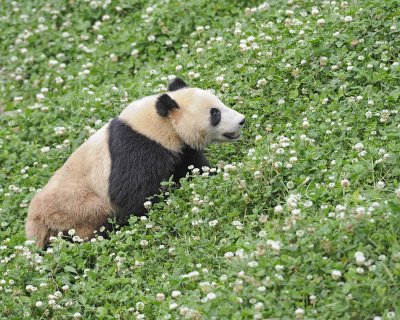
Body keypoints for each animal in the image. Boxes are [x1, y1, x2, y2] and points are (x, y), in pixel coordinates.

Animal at [26, 77, 245, 248]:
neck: (160, 123)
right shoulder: (138, 147)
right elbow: (130, 192)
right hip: (72, 207)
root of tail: (35, 223)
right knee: (94, 217)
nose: (241, 120)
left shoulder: (180, 149)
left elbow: (193, 167)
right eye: (215, 113)